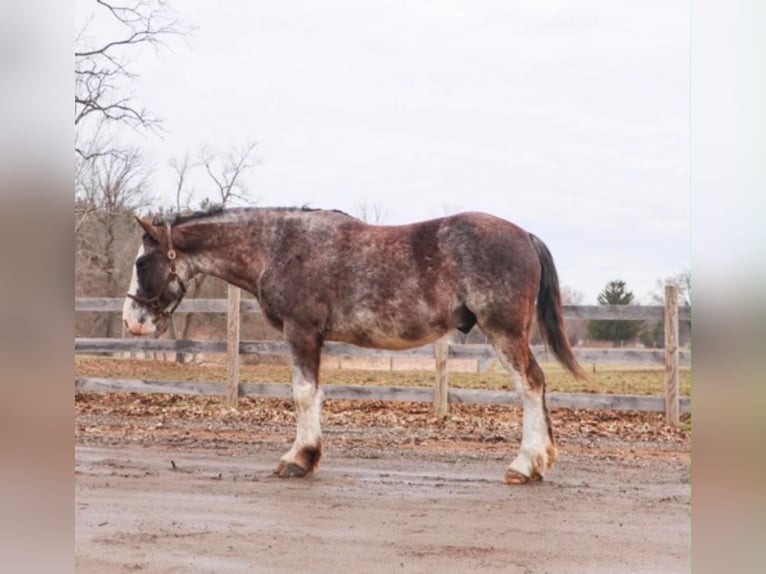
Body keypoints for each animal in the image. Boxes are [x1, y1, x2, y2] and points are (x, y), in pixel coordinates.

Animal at [122, 206, 588, 484]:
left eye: (142, 263)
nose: (131, 321)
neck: (277, 246)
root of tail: (524, 234)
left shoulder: (301, 332)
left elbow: (304, 394)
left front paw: (299, 458)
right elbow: (314, 394)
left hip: (504, 332)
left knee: (530, 385)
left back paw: (524, 464)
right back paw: (538, 461)